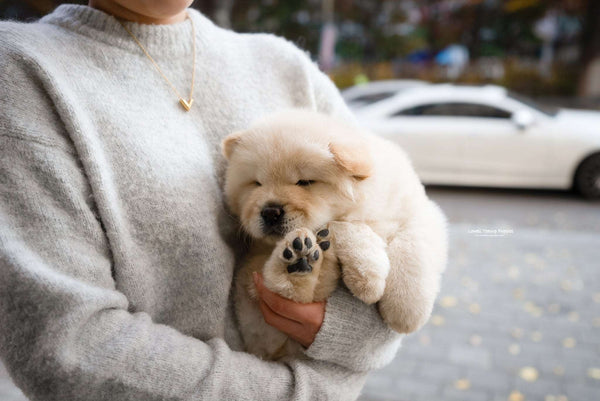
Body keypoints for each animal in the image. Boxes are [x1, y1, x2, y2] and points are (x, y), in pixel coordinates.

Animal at [220, 108, 446, 358]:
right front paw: (369, 279)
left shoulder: (419, 212)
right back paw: (299, 262)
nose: (270, 212)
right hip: (254, 298)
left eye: (305, 182)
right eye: (257, 184)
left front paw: (405, 311)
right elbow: (344, 226)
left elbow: (412, 253)